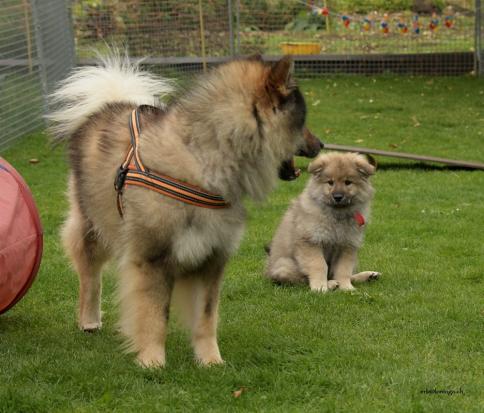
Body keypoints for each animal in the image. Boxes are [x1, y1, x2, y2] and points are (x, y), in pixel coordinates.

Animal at [48, 53, 306, 366]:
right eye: (302, 122)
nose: (319, 145)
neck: (203, 161)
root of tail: (107, 106)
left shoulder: (211, 259)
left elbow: (206, 318)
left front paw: (211, 361)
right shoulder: (153, 259)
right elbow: (154, 317)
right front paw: (152, 361)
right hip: (93, 227)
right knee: (90, 277)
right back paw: (89, 320)